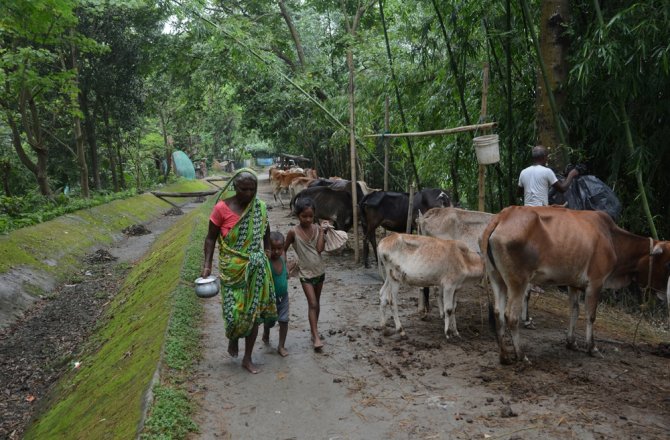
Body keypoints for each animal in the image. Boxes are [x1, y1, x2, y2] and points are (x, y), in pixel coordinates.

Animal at [484, 206, 670, 364]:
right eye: (667, 263)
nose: (665, 294)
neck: (612, 238)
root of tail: (502, 216)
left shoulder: (573, 284)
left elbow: (574, 311)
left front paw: (571, 342)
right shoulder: (595, 283)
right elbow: (590, 315)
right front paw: (592, 348)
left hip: (496, 278)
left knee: (498, 313)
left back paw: (504, 356)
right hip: (518, 282)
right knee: (511, 316)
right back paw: (521, 356)